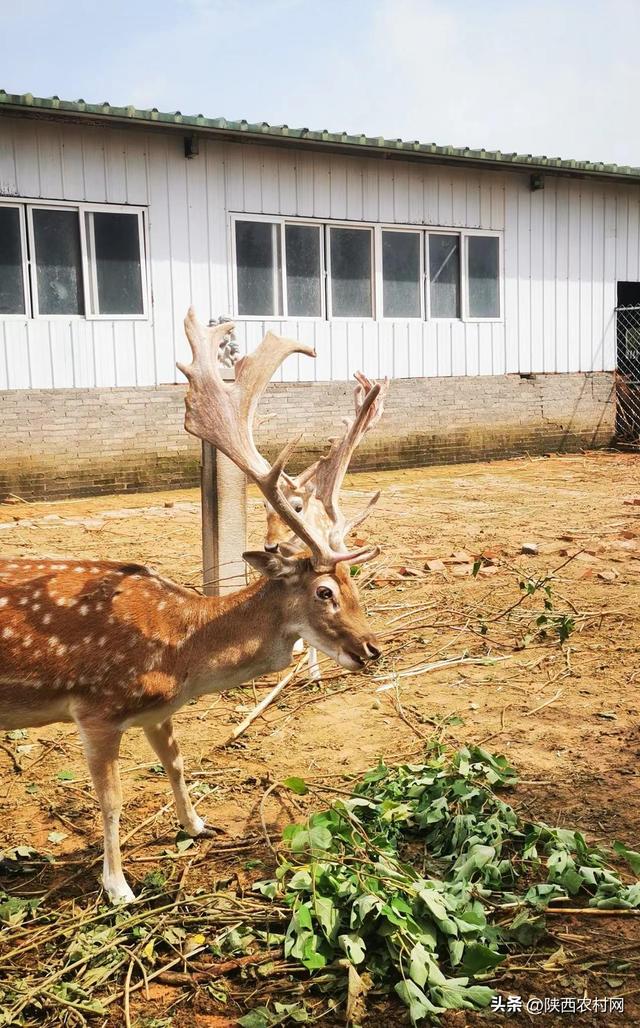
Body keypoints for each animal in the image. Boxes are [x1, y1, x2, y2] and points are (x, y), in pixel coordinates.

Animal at [0, 308, 386, 904]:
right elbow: (111, 801)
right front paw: (118, 888)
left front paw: (199, 825)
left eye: (355, 582)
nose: (371, 648)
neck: (180, 654)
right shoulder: (96, 709)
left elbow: (177, 765)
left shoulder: (158, 711)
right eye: (324, 591)